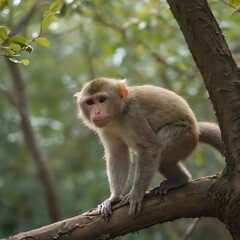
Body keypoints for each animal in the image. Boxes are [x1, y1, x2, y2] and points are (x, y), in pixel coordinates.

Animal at [74, 77, 222, 219]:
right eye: (90, 102)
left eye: (102, 99)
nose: (97, 112)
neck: (120, 112)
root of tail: (196, 130)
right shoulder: (105, 127)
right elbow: (118, 155)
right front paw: (114, 197)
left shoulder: (134, 115)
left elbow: (150, 148)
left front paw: (136, 194)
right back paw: (181, 178)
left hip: (184, 137)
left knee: (161, 148)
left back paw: (179, 180)